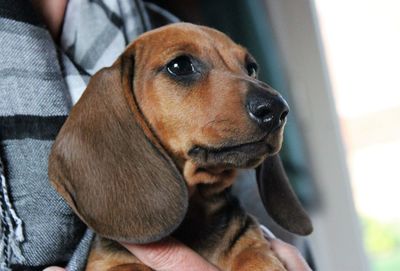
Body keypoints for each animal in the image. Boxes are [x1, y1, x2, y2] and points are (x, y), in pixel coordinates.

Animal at [47, 22, 312, 270]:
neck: (195, 213)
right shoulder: (109, 262)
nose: (277, 109)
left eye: (251, 68)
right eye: (180, 66)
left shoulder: (250, 241)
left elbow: (253, 255)